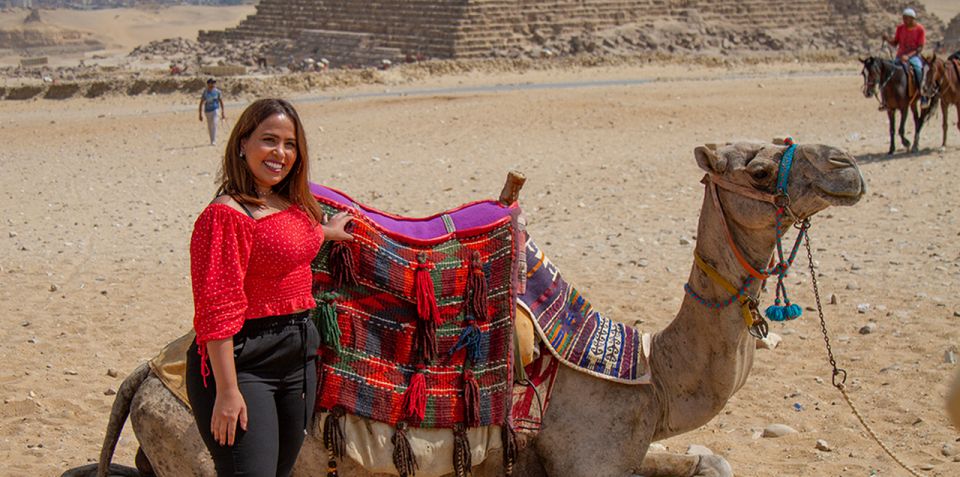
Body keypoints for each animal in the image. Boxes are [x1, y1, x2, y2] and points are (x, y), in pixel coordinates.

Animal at [80, 141, 864, 476]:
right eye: (756, 169)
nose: (848, 167)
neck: (645, 377)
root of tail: (144, 375)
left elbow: (713, 461)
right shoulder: (588, 459)